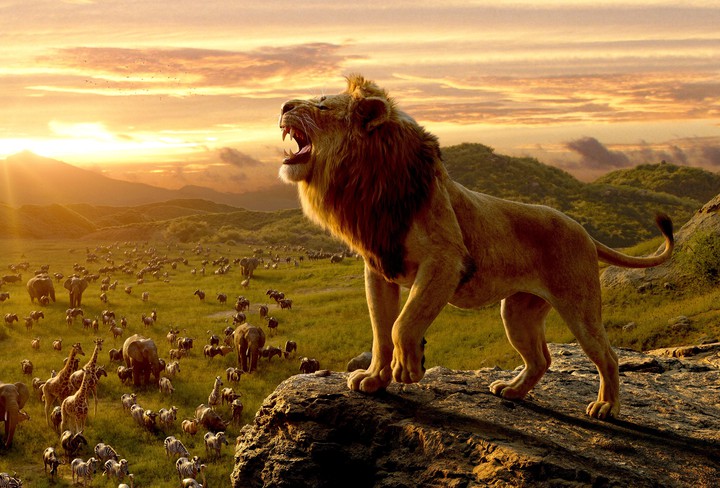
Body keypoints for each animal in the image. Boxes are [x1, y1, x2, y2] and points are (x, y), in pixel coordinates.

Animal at [278, 74, 674, 419]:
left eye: (322, 105)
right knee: (541, 358)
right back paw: (512, 391)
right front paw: (374, 379)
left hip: (579, 306)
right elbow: (380, 331)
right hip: (517, 312)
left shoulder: (446, 261)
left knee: (607, 355)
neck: (367, 184)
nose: (283, 105)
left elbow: (402, 324)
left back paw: (606, 407)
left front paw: (409, 369)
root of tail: (584, 231)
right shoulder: (379, 268)